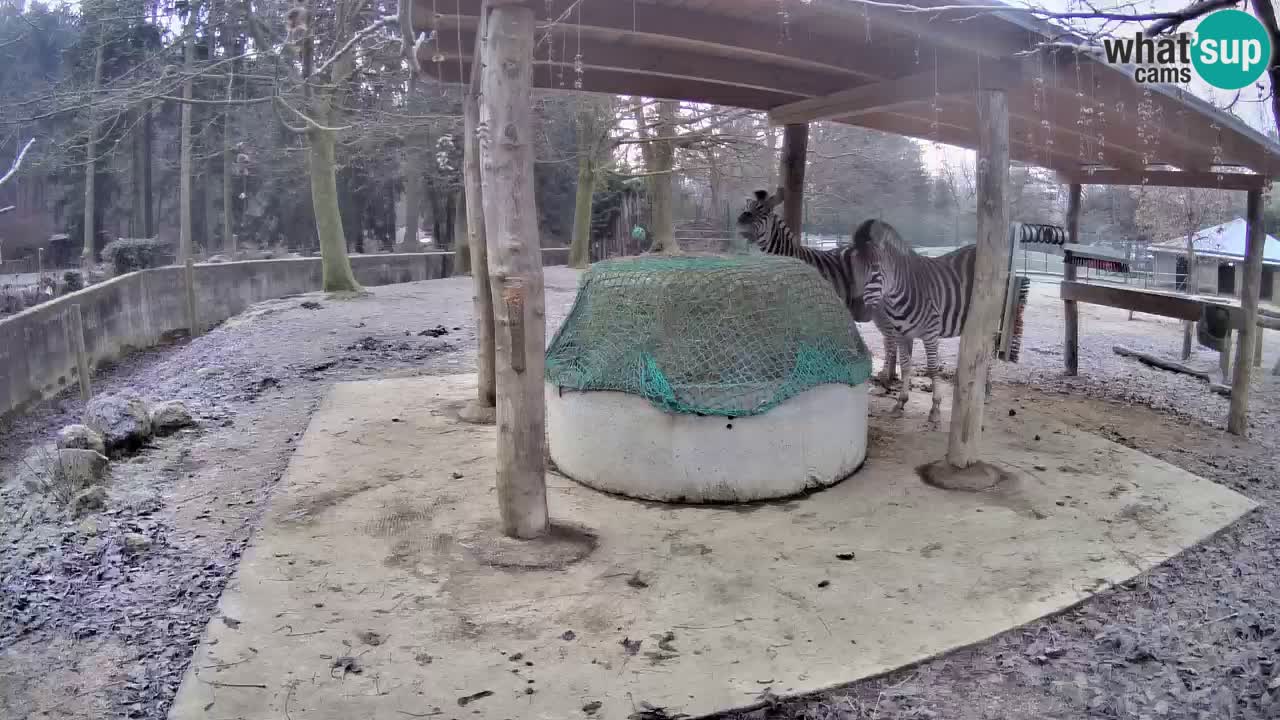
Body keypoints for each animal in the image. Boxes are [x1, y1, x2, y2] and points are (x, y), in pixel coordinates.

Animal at [737, 184, 906, 386]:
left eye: (763, 211)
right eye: (745, 207)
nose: (740, 223)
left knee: (891, 337)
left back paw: (887, 376)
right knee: (891, 336)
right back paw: (890, 375)